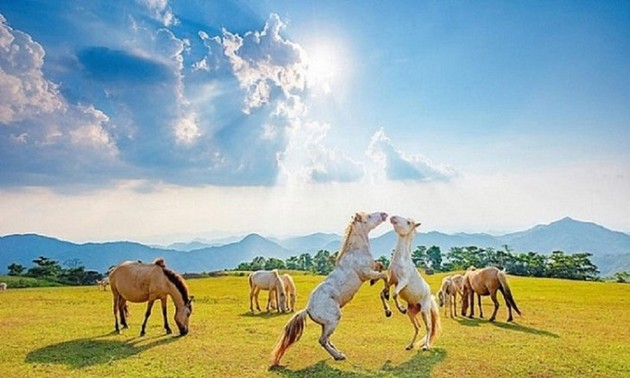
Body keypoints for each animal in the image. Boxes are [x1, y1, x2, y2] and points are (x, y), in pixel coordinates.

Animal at [272, 210, 390, 366]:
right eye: (369, 216)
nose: (384, 214)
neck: (356, 252)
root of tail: (308, 309)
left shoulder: (371, 268)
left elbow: (380, 265)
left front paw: (376, 285)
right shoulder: (366, 273)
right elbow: (384, 275)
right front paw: (387, 302)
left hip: (326, 325)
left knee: (327, 340)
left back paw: (338, 354)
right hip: (333, 319)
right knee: (322, 340)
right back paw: (338, 356)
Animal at [380, 216, 444, 352]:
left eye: (408, 222)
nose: (392, 217)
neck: (401, 260)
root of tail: (430, 297)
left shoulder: (402, 281)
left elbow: (394, 294)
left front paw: (401, 309)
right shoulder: (391, 280)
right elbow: (382, 294)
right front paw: (388, 312)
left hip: (424, 311)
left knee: (428, 327)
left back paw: (426, 346)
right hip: (412, 312)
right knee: (417, 327)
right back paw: (410, 345)